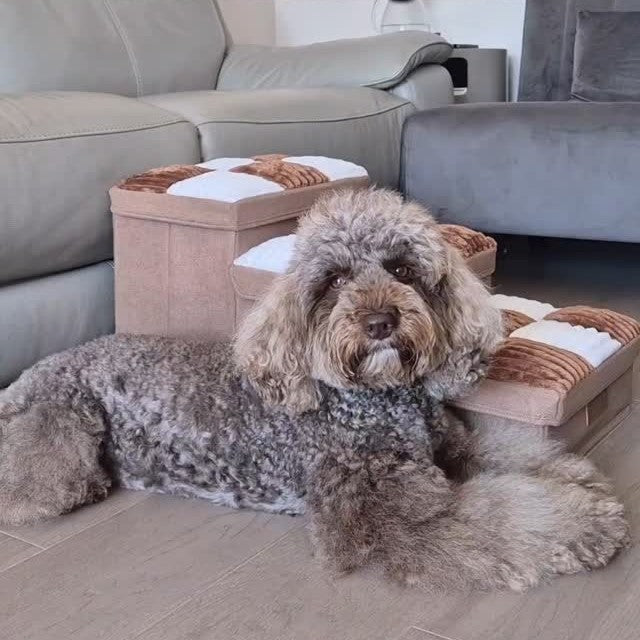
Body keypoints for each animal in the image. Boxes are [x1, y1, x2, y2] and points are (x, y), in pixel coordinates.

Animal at [0, 189, 629, 592]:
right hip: (61, 454)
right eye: (333, 280)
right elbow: (510, 518)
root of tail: (32, 373)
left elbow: (513, 458)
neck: (376, 399)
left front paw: (576, 480)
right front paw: (589, 522)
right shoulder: (400, 512)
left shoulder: (456, 446)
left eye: (402, 270)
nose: (380, 322)